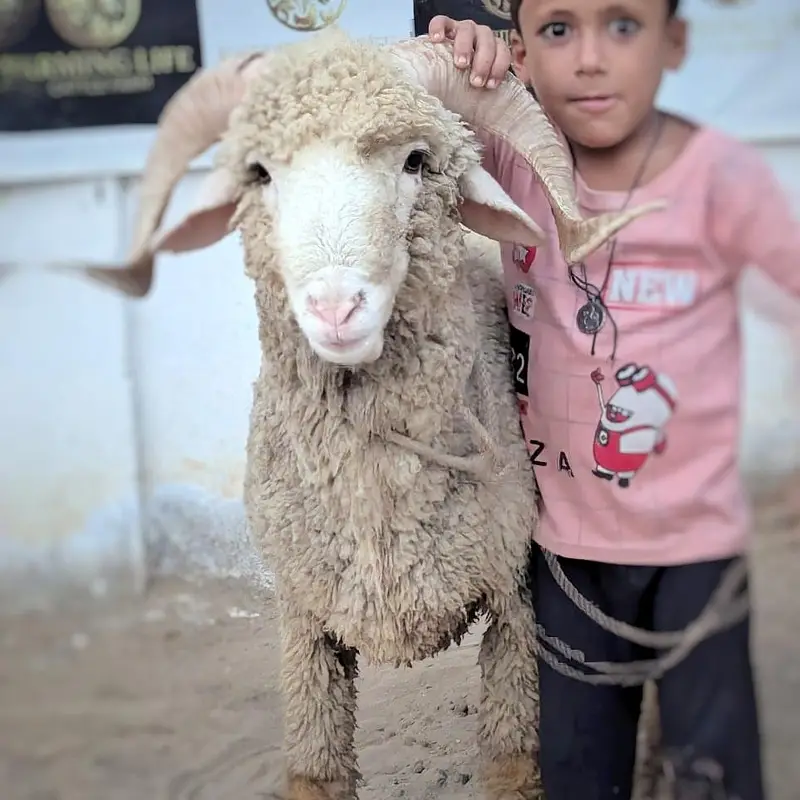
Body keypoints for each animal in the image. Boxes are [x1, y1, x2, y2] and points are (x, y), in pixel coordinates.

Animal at [77, 28, 660, 800]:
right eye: (259, 172)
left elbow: (513, 762)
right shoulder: (303, 625)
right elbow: (316, 770)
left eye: (416, 160)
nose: (335, 308)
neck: (378, 506)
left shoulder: (518, 603)